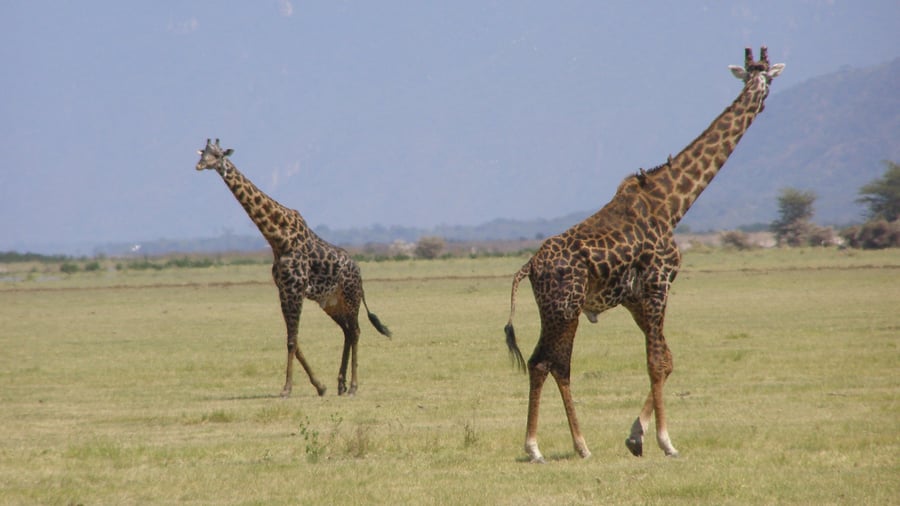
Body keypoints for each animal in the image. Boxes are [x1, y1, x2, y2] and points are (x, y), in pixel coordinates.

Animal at [195, 139, 391, 397]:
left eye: (217, 155)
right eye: (203, 153)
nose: (199, 165)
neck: (278, 239)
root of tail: (359, 271)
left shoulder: (295, 289)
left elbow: (291, 340)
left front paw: (287, 388)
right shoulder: (284, 290)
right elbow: (294, 339)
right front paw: (320, 386)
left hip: (351, 297)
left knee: (356, 331)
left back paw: (353, 387)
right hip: (331, 303)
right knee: (348, 331)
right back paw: (340, 384)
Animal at [504, 47, 784, 463]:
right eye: (759, 76)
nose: (761, 97)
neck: (671, 203)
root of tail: (530, 266)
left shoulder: (635, 298)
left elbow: (666, 360)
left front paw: (636, 436)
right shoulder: (658, 283)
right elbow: (655, 362)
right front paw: (666, 442)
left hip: (557, 310)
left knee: (548, 363)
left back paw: (566, 445)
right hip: (564, 308)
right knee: (550, 362)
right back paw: (552, 447)